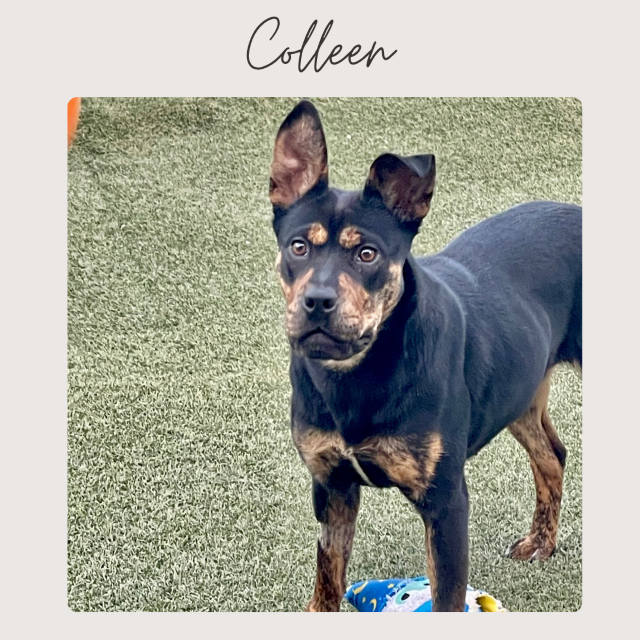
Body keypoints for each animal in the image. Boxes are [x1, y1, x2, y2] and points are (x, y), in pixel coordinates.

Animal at [269, 100, 582, 612]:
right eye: (298, 246)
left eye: (368, 254)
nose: (317, 301)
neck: (359, 376)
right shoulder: (331, 489)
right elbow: (327, 584)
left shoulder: (446, 502)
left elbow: (447, 598)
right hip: (520, 388)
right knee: (552, 455)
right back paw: (542, 542)